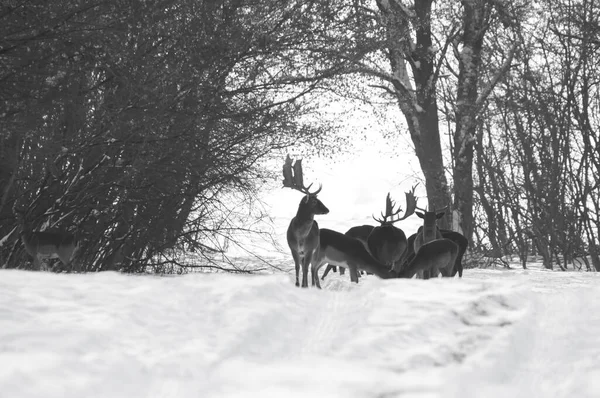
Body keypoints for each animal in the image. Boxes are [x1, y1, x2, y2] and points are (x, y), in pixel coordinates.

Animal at [284, 154, 330, 288]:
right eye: (314, 201)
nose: (327, 210)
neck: (300, 237)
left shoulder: (309, 249)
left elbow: (305, 268)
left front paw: (305, 286)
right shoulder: (293, 248)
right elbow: (297, 267)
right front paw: (297, 284)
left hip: (317, 249)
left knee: (312, 267)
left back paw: (314, 285)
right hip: (304, 253)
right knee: (307, 266)